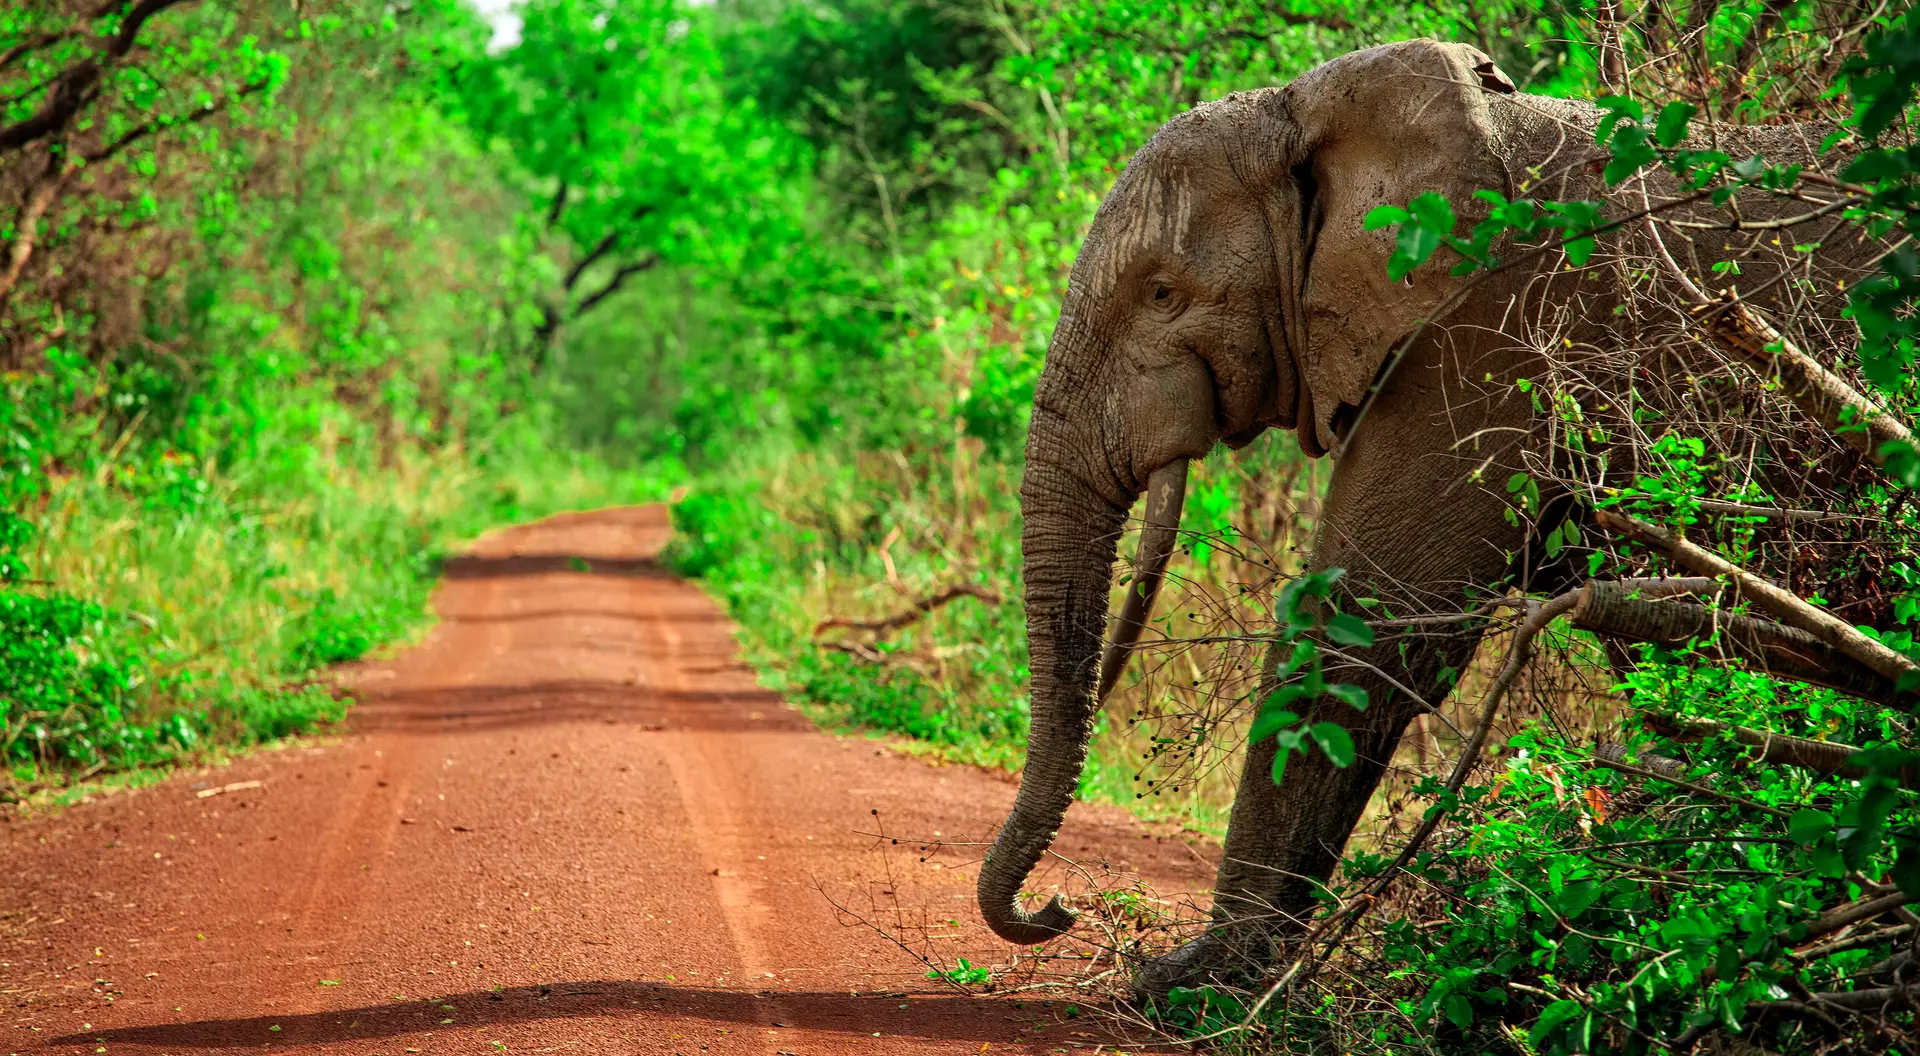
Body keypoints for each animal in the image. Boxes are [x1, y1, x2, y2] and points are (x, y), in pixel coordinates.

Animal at [974, 38, 1885, 994]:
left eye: (1160, 294)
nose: (1055, 910)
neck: (1314, 107)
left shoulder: (1488, 333)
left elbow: (1365, 622)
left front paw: (1195, 981)